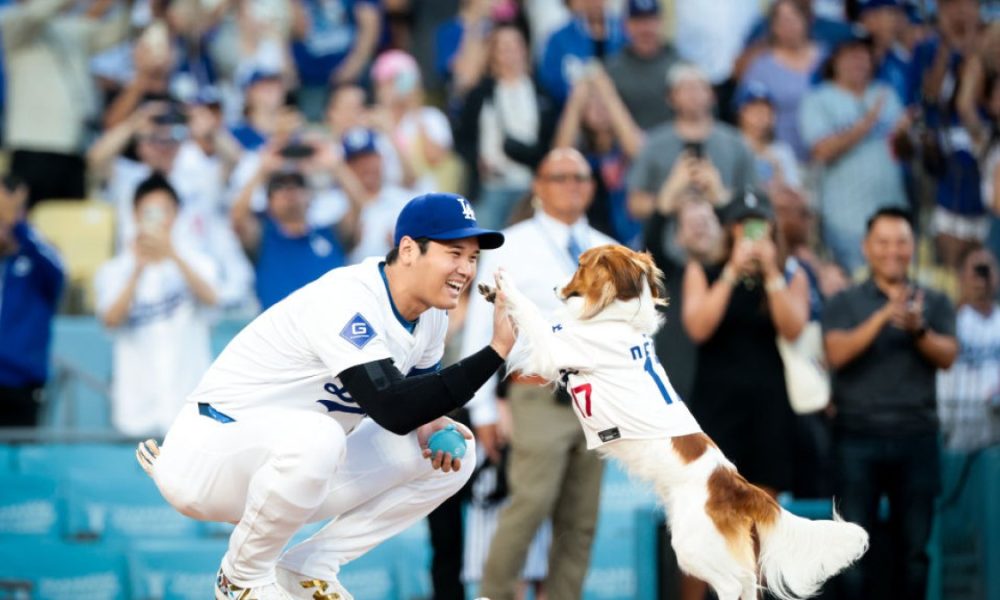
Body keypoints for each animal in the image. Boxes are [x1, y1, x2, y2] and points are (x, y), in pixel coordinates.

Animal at [484, 244, 868, 600]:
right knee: (747, 585)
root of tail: (740, 486)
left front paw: (505, 284)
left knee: (734, 583)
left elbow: (532, 315)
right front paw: (490, 291)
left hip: (692, 545)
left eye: (580, 266)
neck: (616, 319)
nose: (554, 287)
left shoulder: (555, 349)